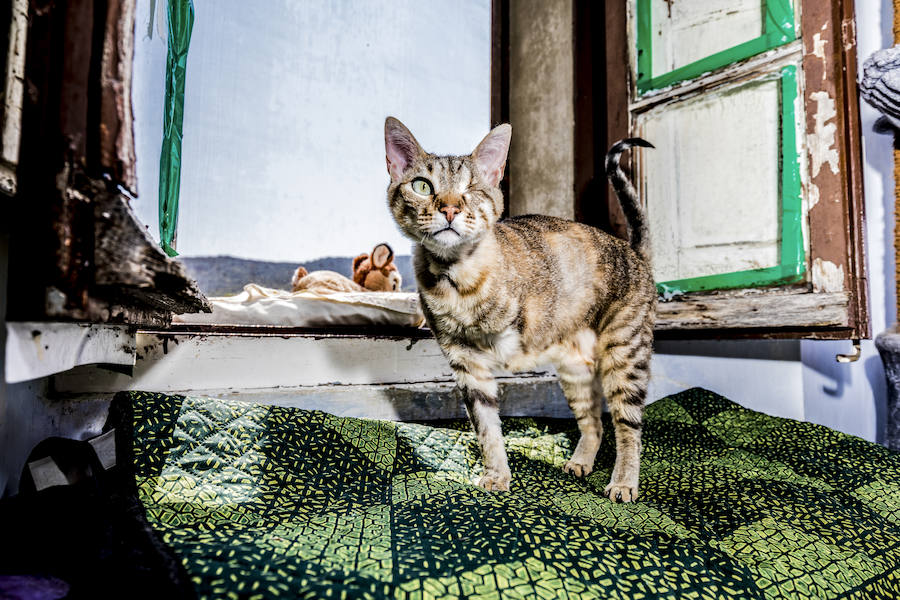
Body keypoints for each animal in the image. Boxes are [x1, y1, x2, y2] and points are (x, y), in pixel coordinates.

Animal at [384, 117, 656, 502]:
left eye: (472, 189)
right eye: (422, 186)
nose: (449, 209)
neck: (454, 278)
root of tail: (634, 252)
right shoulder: (466, 364)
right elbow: (487, 429)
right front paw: (496, 476)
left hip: (625, 357)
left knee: (627, 426)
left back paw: (623, 481)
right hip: (575, 371)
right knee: (595, 423)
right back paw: (581, 461)